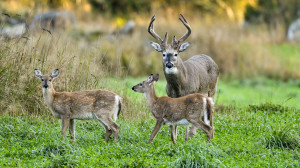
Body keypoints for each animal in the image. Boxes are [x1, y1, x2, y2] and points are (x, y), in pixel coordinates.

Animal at [147, 13, 218, 142]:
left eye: (176, 54)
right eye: (163, 54)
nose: (169, 64)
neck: (179, 87)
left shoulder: (191, 94)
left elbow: (186, 123)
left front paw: (185, 139)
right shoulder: (171, 97)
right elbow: (173, 121)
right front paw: (174, 139)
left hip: (212, 89)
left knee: (211, 111)